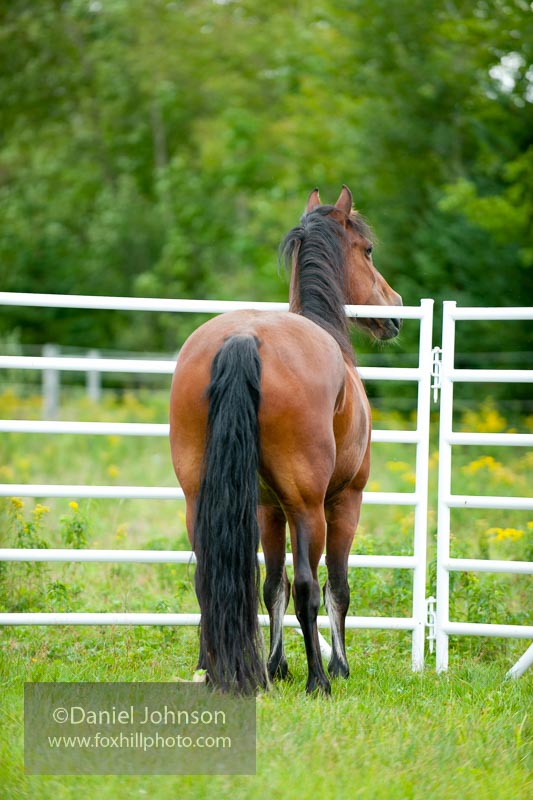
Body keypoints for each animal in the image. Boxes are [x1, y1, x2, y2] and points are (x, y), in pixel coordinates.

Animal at [168, 186, 402, 692]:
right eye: (368, 250)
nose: (393, 309)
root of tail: (243, 337)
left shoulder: (266, 508)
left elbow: (271, 586)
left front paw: (275, 666)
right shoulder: (344, 501)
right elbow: (335, 587)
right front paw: (337, 666)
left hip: (201, 498)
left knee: (210, 580)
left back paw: (212, 670)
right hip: (308, 507)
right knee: (310, 587)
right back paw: (320, 681)